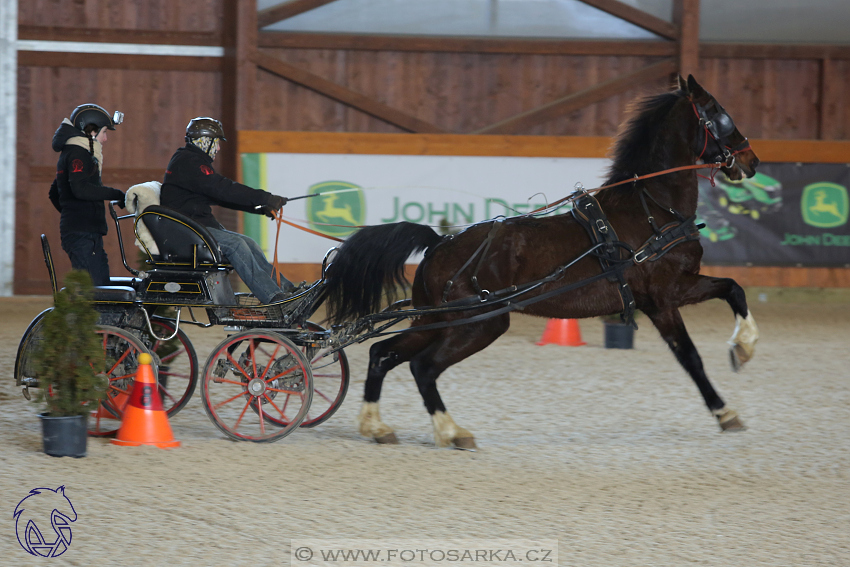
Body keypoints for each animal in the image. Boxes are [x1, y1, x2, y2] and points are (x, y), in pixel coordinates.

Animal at [322, 74, 760, 448]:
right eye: (719, 112)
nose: (752, 161)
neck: (651, 210)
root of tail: (441, 242)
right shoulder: (667, 296)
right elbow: (695, 352)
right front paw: (729, 397)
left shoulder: (670, 293)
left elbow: (732, 292)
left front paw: (741, 354)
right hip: (480, 323)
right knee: (423, 367)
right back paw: (451, 432)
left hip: (437, 320)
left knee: (383, 355)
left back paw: (376, 426)